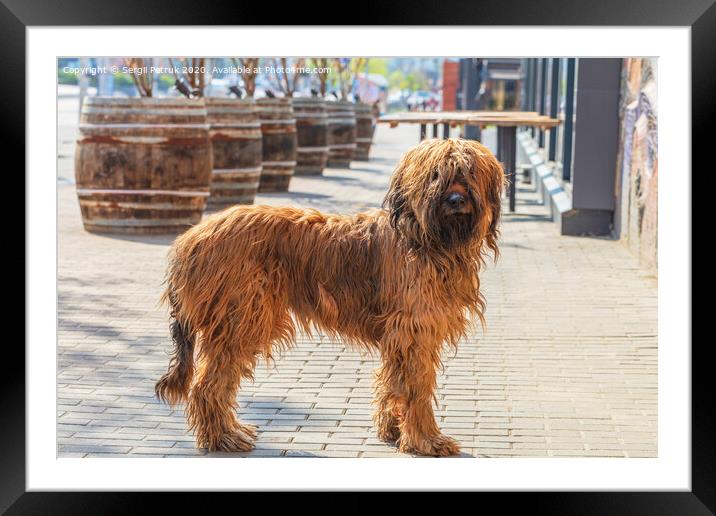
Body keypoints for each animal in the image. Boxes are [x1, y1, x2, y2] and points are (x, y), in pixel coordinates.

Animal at [157, 138, 504, 456]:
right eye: (435, 174)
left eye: (469, 171)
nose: (456, 200)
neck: (425, 238)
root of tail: (189, 238)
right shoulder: (414, 331)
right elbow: (416, 387)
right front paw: (426, 440)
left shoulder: (399, 334)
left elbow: (392, 381)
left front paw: (392, 429)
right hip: (242, 316)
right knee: (208, 384)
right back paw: (223, 437)